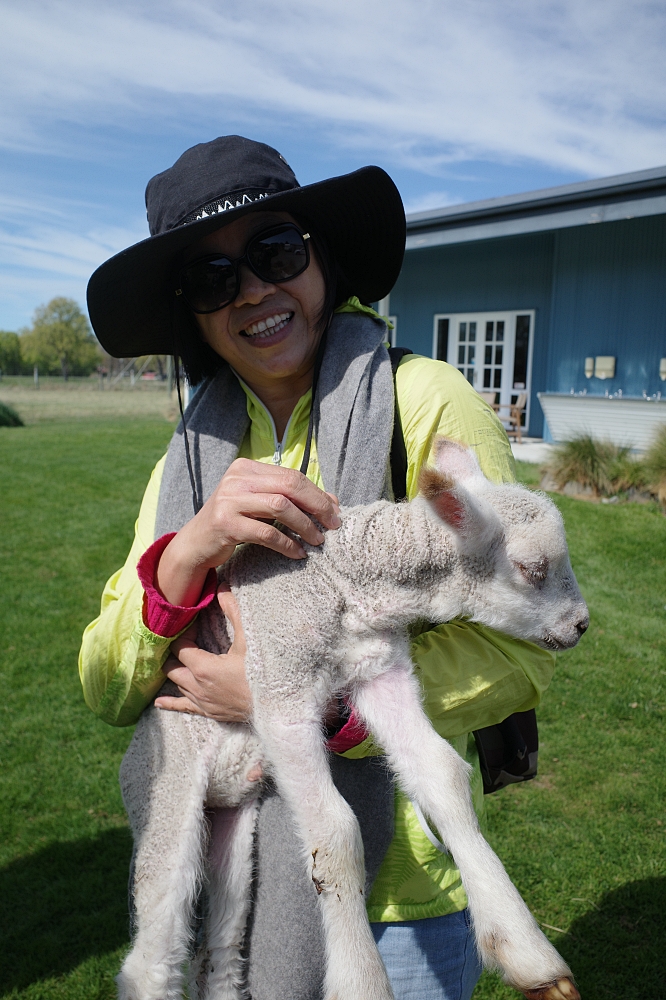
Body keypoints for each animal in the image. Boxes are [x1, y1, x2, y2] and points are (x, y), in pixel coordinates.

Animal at [118, 440, 588, 1000]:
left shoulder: (380, 669)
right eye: (532, 568)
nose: (581, 625)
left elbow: (446, 776)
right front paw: (359, 977)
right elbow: (335, 830)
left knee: (223, 952)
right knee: (151, 957)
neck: (350, 582)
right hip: (164, 795)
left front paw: (526, 952)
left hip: (233, 837)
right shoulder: (282, 684)